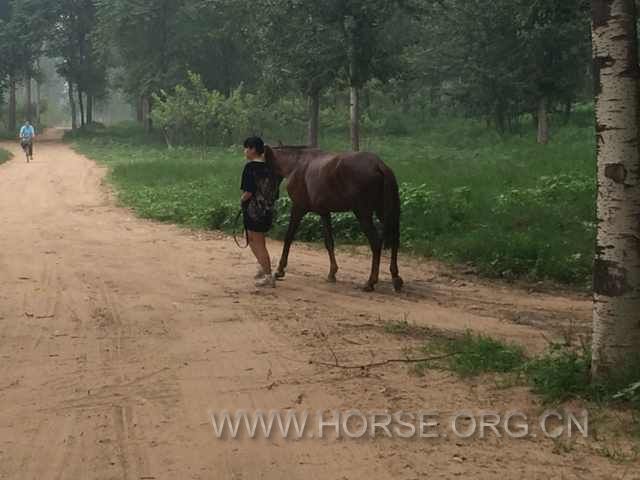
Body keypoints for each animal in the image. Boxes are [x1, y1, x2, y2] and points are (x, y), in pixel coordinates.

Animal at [262, 144, 402, 290]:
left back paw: (370, 282)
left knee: (375, 242)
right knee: (395, 239)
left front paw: (279, 270)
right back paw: (395, 277)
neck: (297, 164)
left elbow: (288, 237)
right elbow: (329, 242)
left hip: (363, 214)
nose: (267, 199)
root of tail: (379, 165)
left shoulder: (298, 208)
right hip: (385, 212)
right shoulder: (324, 212)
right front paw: (332, 273)